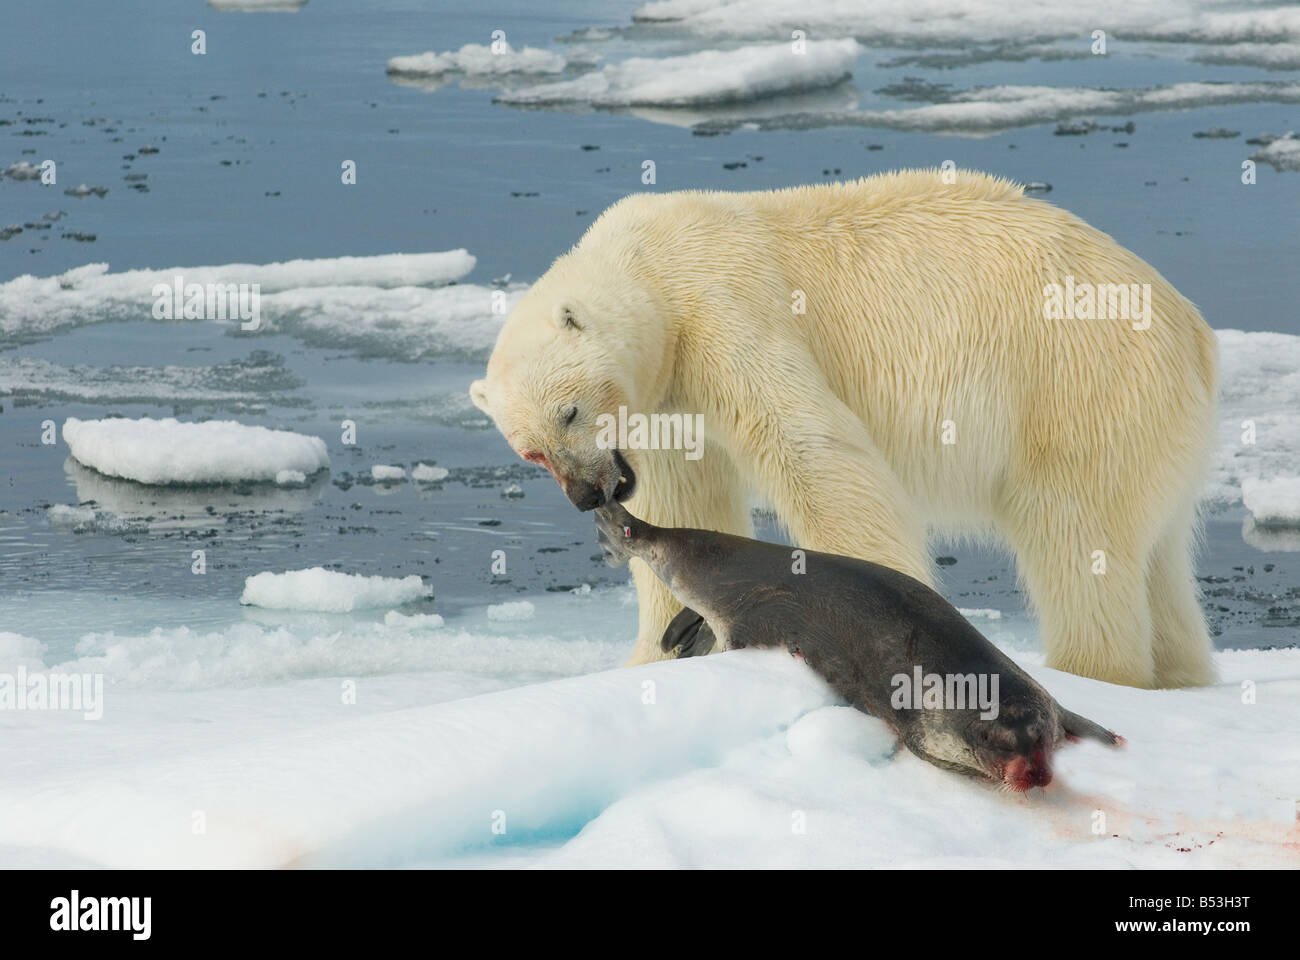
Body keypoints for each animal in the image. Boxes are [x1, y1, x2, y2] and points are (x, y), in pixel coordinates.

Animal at [475, 167, 1216, 686]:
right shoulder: (668, 401)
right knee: (1157, 557)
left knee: (1074, 535)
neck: (652, 269)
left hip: (1077, 386)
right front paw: (656, 653)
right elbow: (684, 500)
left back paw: (1093, 671)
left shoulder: (723, 310)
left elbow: (815, 452)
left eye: (570, 410)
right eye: (532, 452)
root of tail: (1194, 334)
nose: (588, 494)